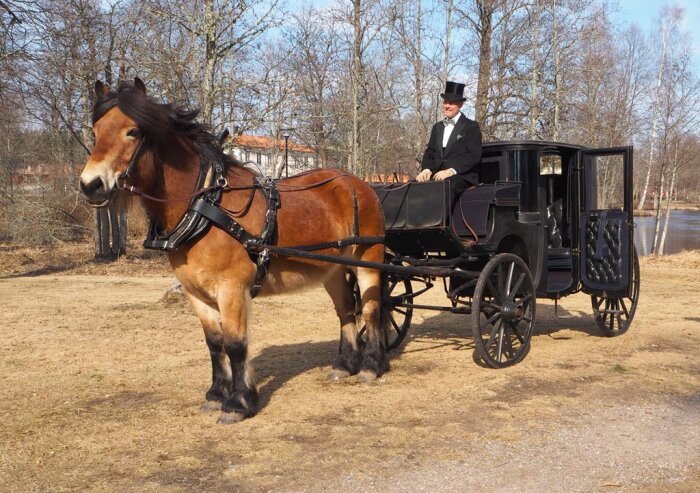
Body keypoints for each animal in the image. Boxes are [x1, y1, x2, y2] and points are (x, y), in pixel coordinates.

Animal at [80, 78, 392, 422]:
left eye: (133, 132)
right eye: (95, 131)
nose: (91, 185)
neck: (205, 207)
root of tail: (359, 184)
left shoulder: (232, 289)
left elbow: (235, 344)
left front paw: (239, 402)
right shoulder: (195, 293)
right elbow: (214, 344)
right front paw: (216, 394)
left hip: (368, 262)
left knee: (371, 309)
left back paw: (370, 366)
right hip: (332, 270)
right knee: (346, 310)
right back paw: (344, 365)